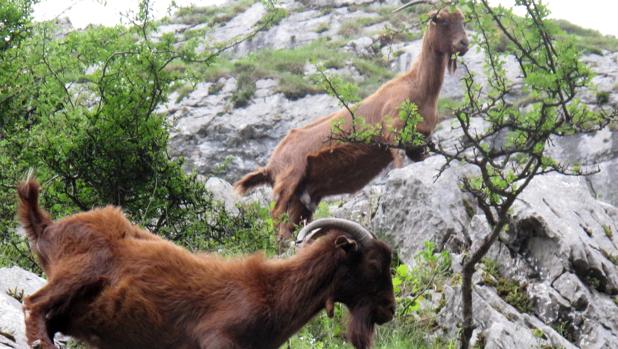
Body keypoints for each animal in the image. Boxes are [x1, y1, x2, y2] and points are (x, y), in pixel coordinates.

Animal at [16, 179, 392, 348]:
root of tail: (47, 226)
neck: (270, 290)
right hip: (82, 271)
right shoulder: (217, 338)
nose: (389, 309)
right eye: (375, 264)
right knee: (33, 303)